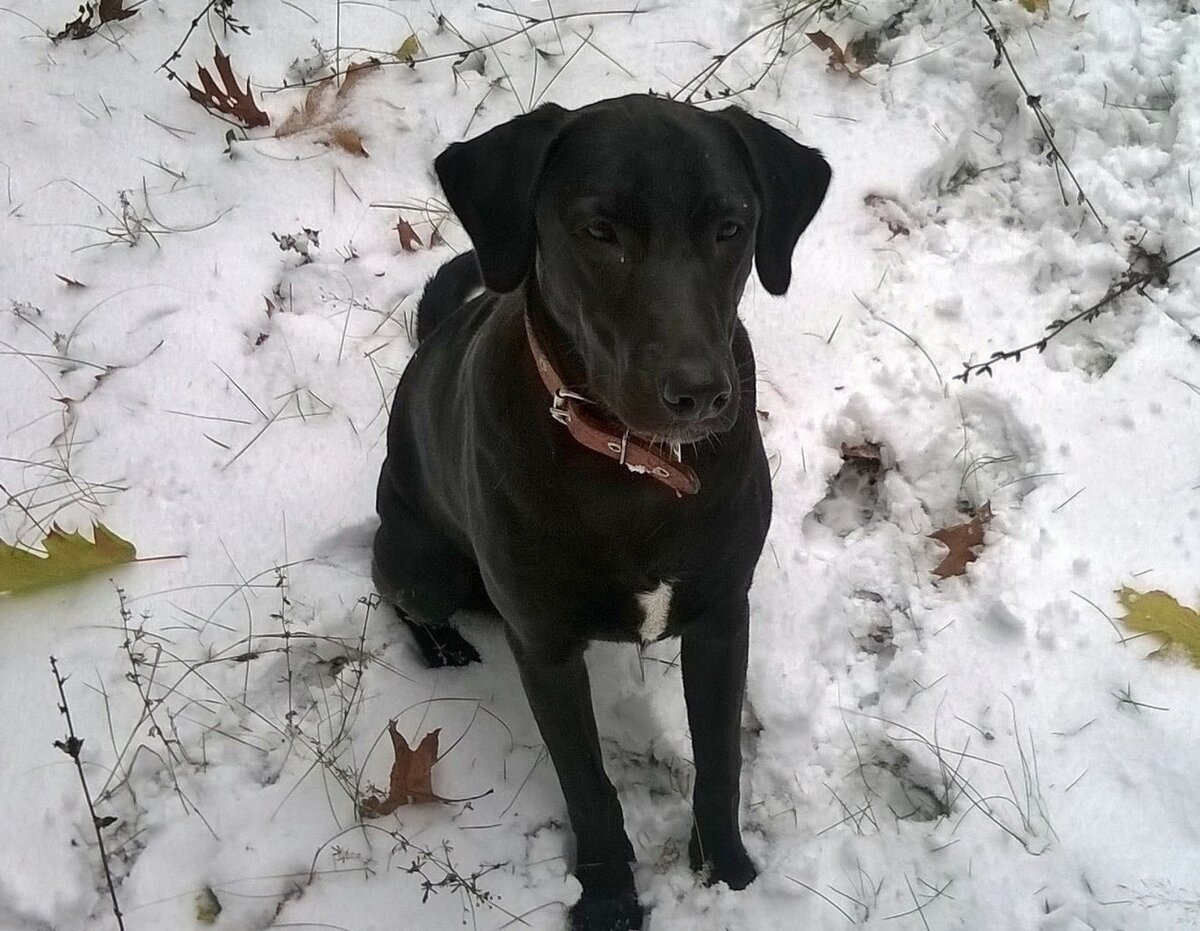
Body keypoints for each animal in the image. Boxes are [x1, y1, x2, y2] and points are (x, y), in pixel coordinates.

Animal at [374, 96, 825, 931]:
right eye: (597, 231)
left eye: (731, 226)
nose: (699, 393)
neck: (632, 468)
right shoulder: (545, 647)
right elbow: (586, 783)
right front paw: (610, 895)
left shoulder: (722, 615)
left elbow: (720, 759)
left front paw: (728, 872)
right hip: (422, 563)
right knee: (397, 590)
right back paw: (441, 644)